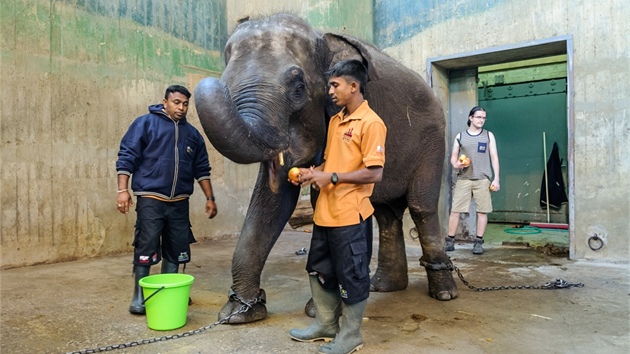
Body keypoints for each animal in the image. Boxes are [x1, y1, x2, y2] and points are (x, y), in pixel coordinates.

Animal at [195, 13, 456, 324]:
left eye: (298, 89)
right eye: (227, 84)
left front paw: (323, 309)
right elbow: (271, 202)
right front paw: (238, 314)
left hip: (433, 141)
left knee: (420, 206)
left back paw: (443, 293)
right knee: (386, 214)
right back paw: (384, 287)